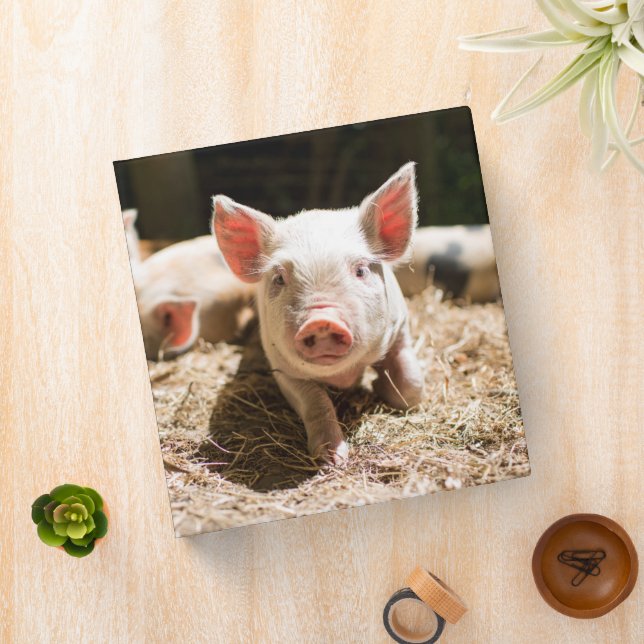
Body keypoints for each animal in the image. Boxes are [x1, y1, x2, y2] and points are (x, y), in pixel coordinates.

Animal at [212, 163, 424, 464]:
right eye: (279, 278)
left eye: (361, 270)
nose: (322, 320)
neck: (343, 376)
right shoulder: (281, 366)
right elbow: (316, 402)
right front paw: (331, 460)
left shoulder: (400, 327)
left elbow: (411, 386)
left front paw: (380, 388)